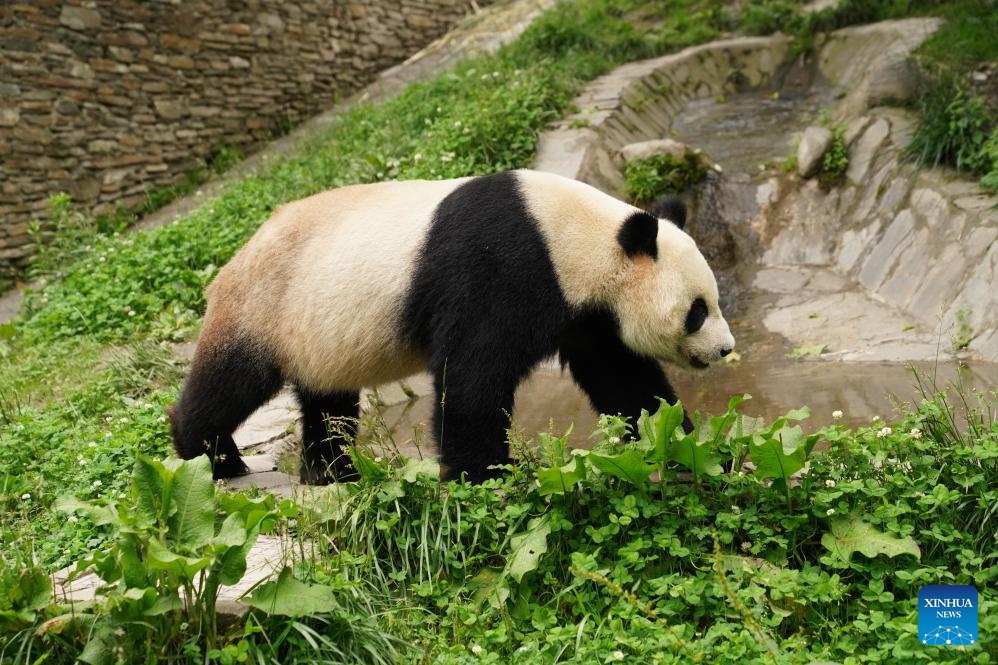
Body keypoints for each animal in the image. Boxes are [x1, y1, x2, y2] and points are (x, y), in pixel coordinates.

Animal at [170, 169, 734, 484]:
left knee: (326, 400)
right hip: (265, 307)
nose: (726, 350)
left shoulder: (587, 312)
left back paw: (328, 472)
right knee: (230, 383)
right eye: (698, 310)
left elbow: (623, 380)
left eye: (713, 302)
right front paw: (484, 473)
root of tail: (232, 262)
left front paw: (688, 447)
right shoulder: (502, 266)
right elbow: (471, 376)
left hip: (317, 329)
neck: (574, 234)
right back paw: (214, 458)